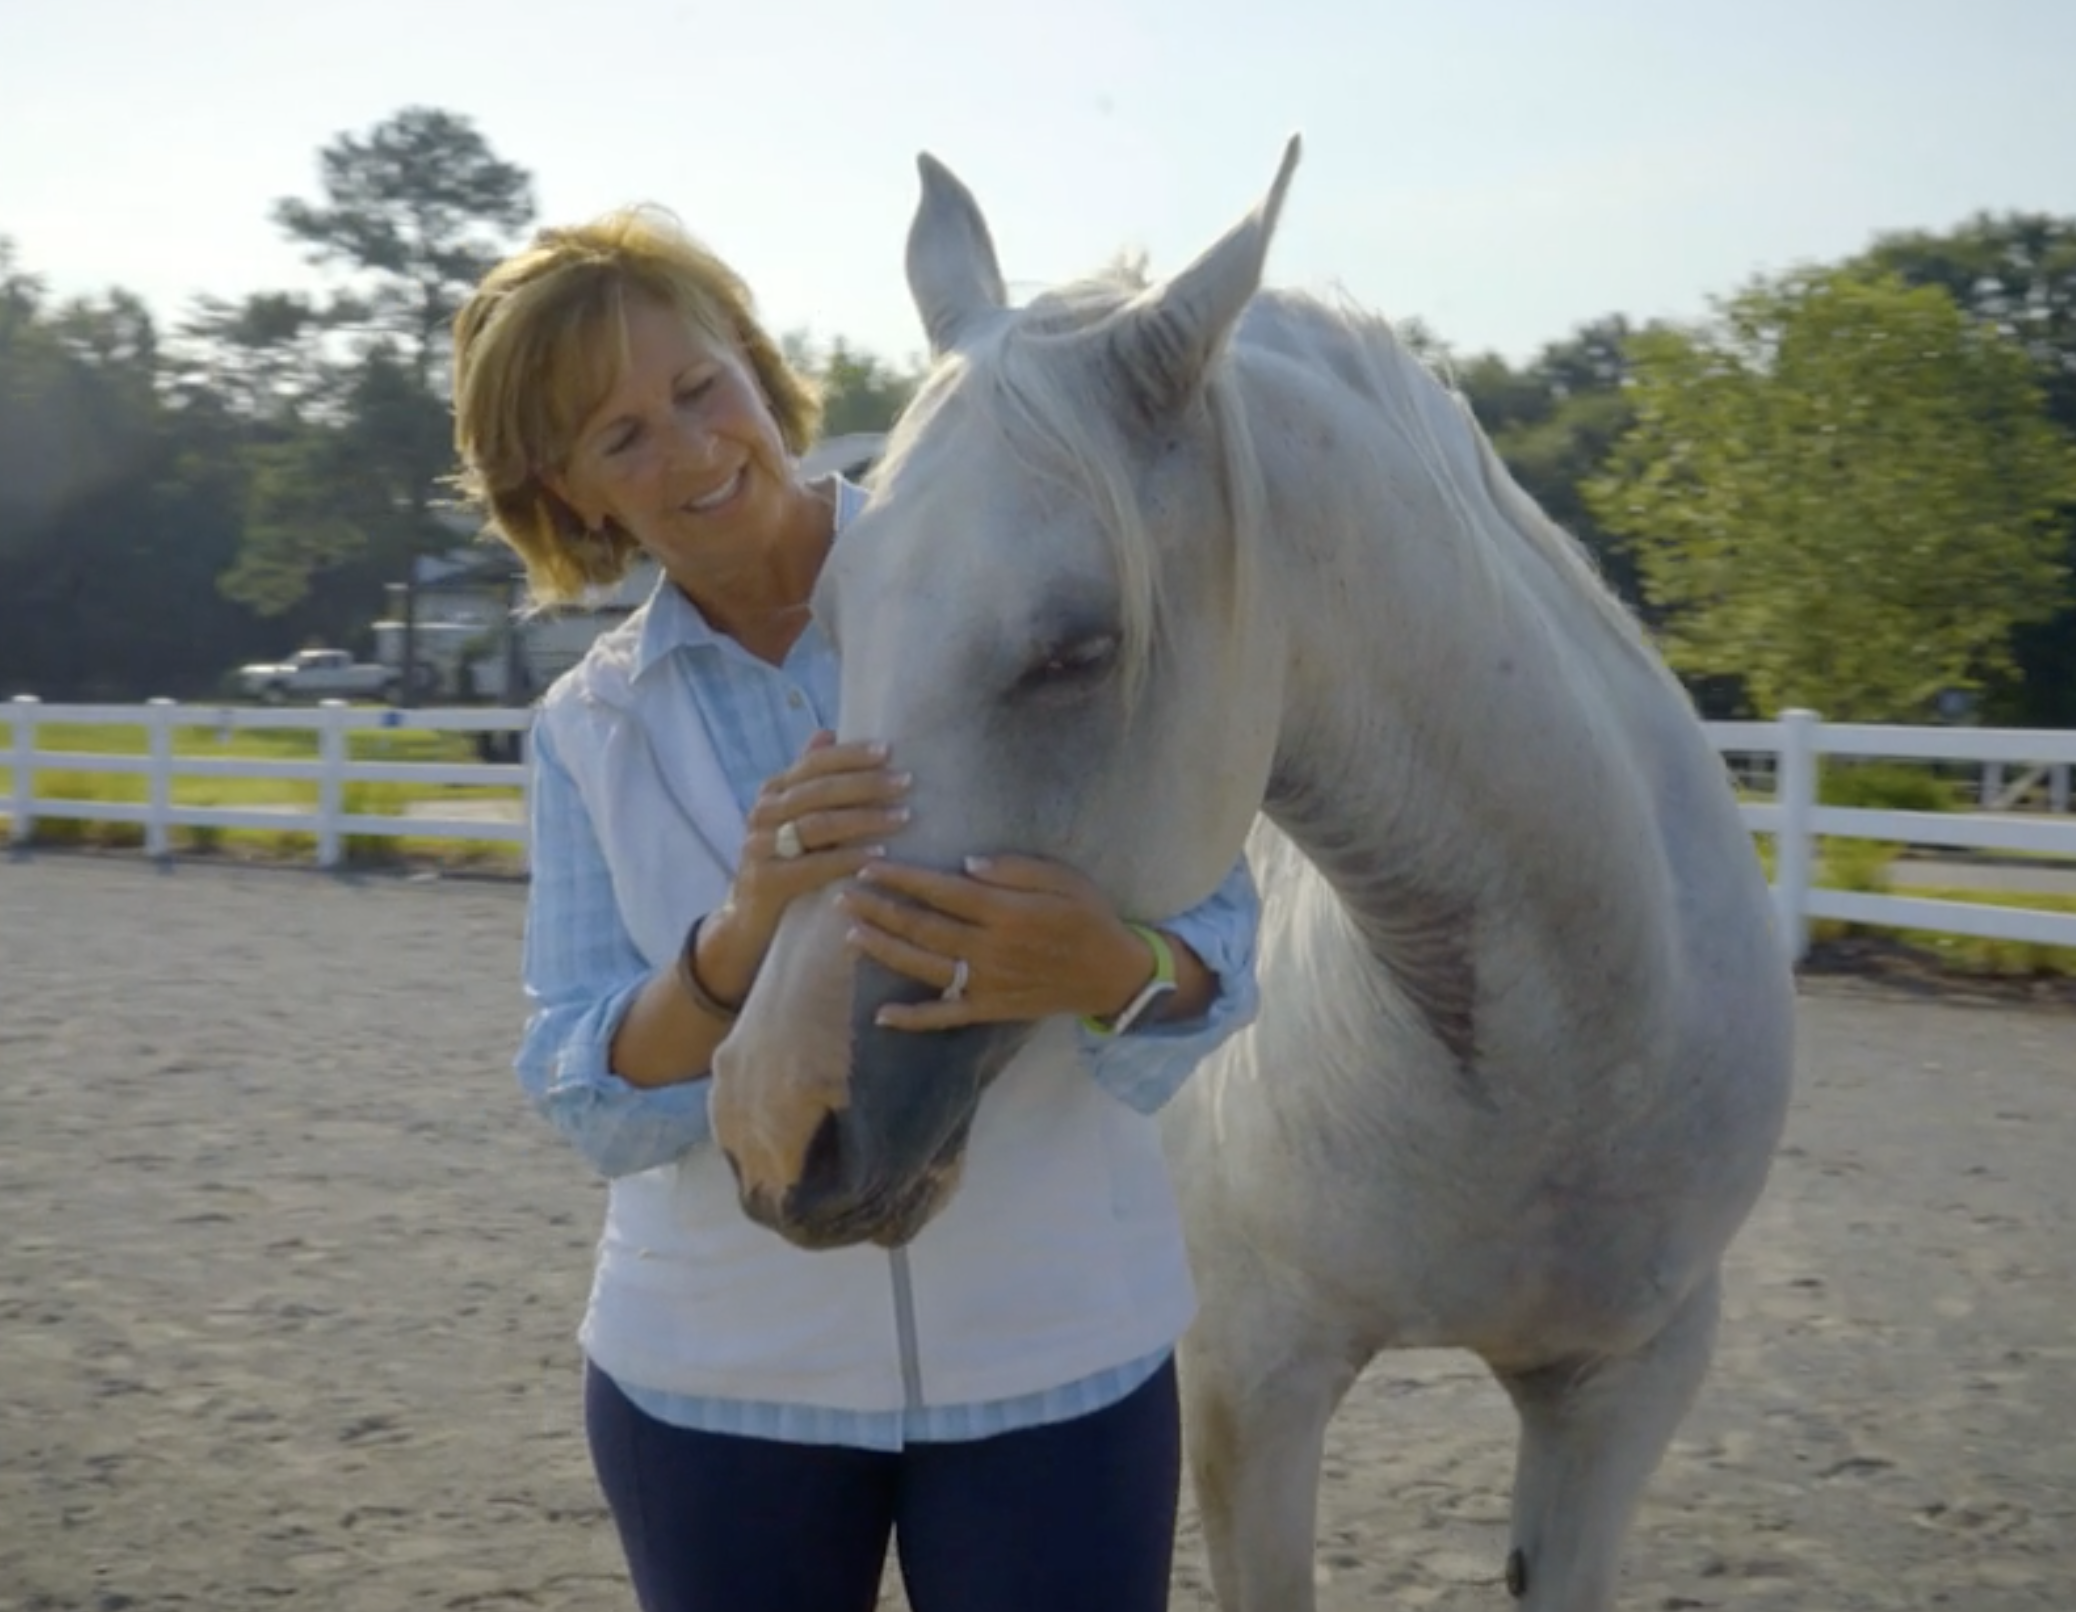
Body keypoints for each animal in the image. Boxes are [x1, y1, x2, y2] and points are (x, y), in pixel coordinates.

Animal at [709, 136, 1796, 1610]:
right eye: (831, 614)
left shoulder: (1626, 1384)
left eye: (1079, 648)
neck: (1561, 1057)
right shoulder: (1251, 1382)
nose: (778, 1112)